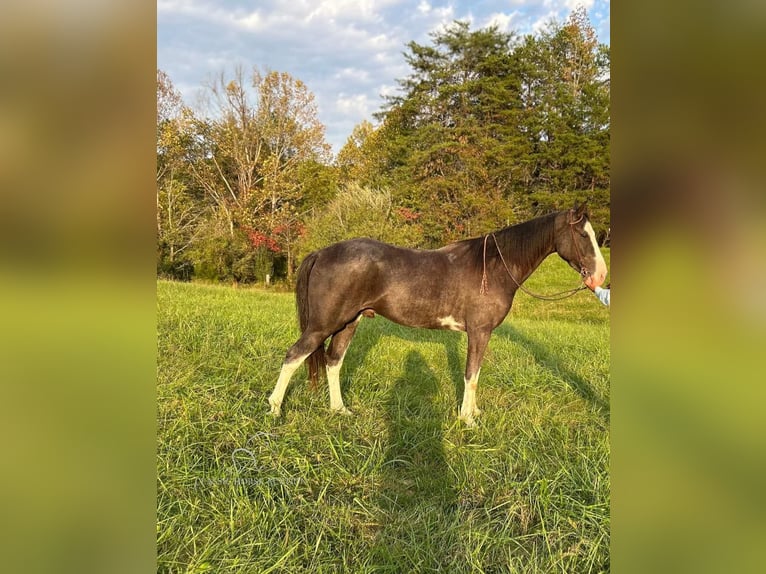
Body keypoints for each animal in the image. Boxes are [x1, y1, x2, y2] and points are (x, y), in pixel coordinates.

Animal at [268, 202, 608, 428]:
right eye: (583, 236)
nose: (600, 276)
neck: (494, 267)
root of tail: (321, 252)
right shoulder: (479, 331)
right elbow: (471, 375)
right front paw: (468, 419)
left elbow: (475, 374)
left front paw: (474, 413)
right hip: (323, 325)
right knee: (294, 356)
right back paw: (274, 410)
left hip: (349, 323)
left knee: (333, 362)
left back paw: (340, 411)